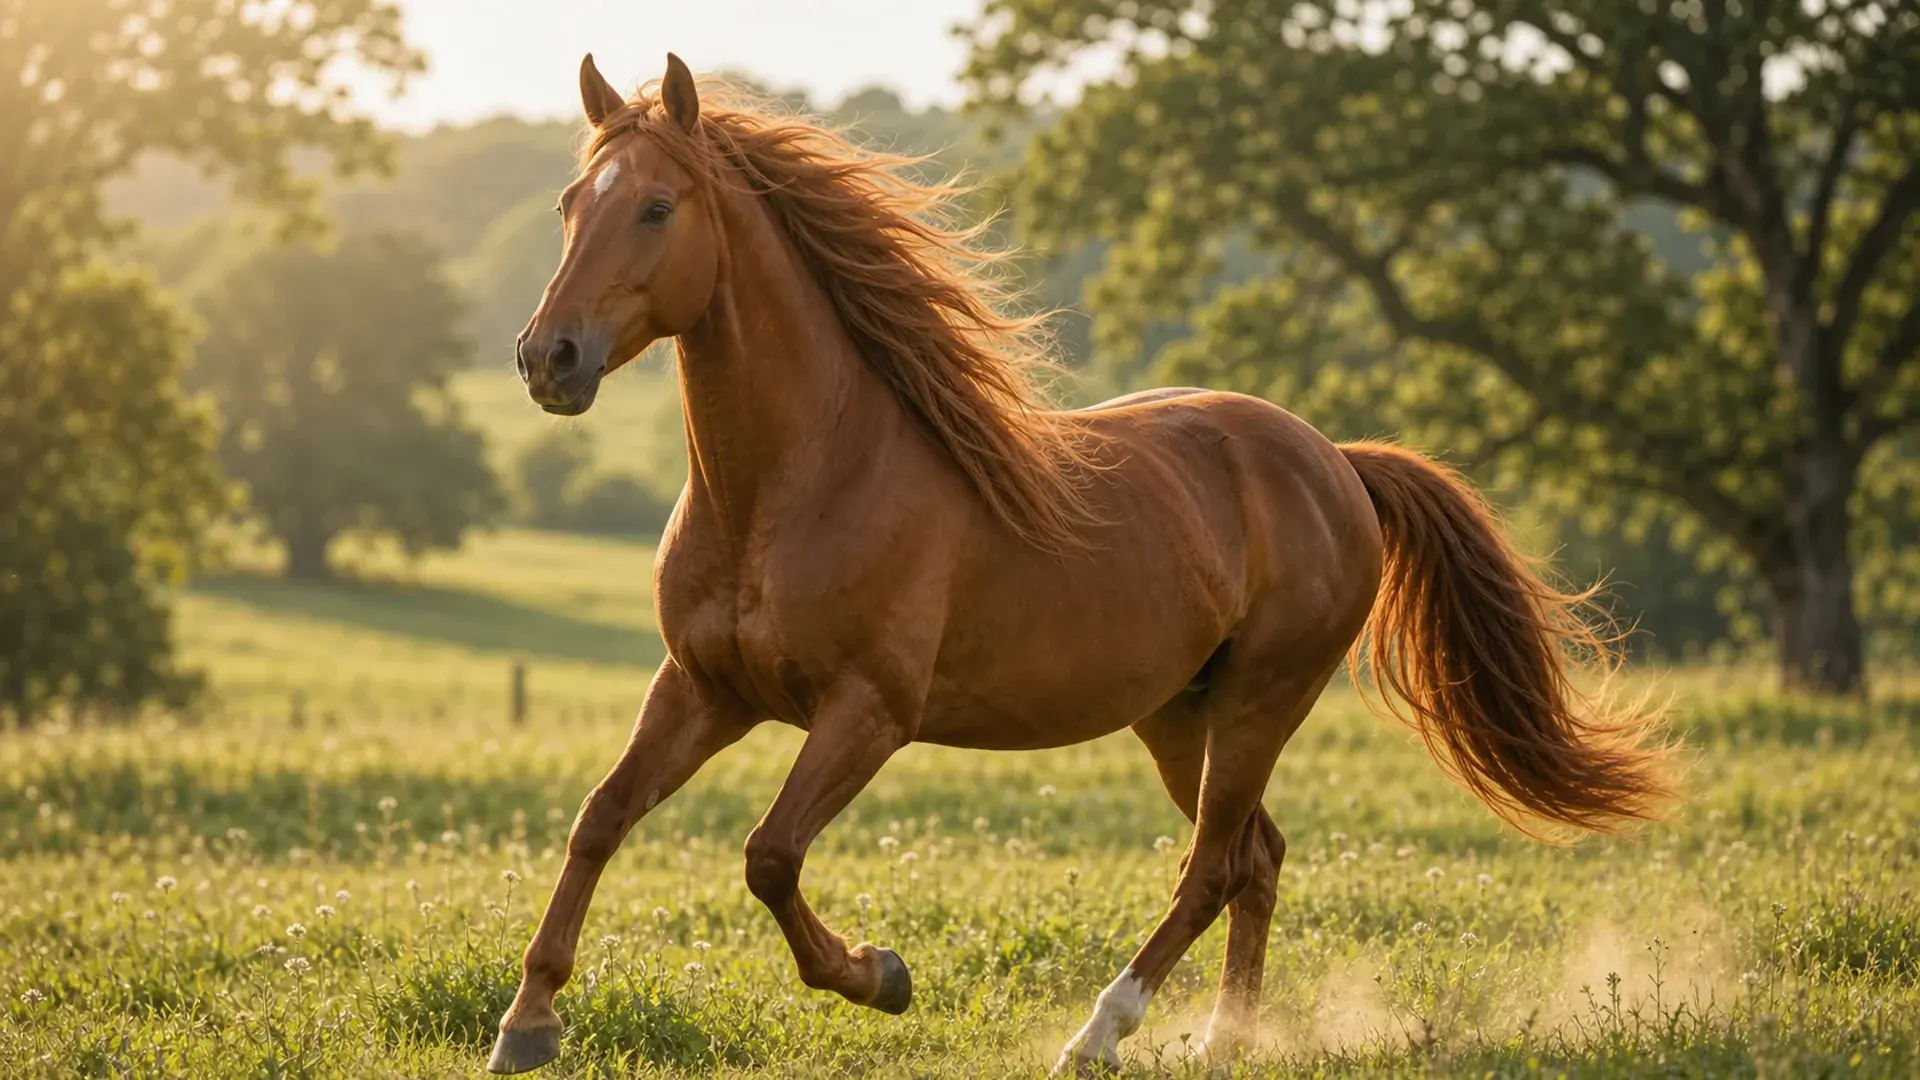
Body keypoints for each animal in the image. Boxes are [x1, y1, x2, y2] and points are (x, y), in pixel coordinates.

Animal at [486, 52, 1671, 1077]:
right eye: (569, 205)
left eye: (656, 208)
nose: (548, 358)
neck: (793, 486)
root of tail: (1338, 460)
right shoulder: (704, 688)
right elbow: (600, 817)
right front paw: (526, 1023)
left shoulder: (869, 710)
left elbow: (769, 856)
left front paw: (882, 975)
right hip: (1181, 716)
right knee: (1257, 857)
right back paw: (1227, 1042)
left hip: (1263, 700)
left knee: (1212, 866)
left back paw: (1099, 1035)